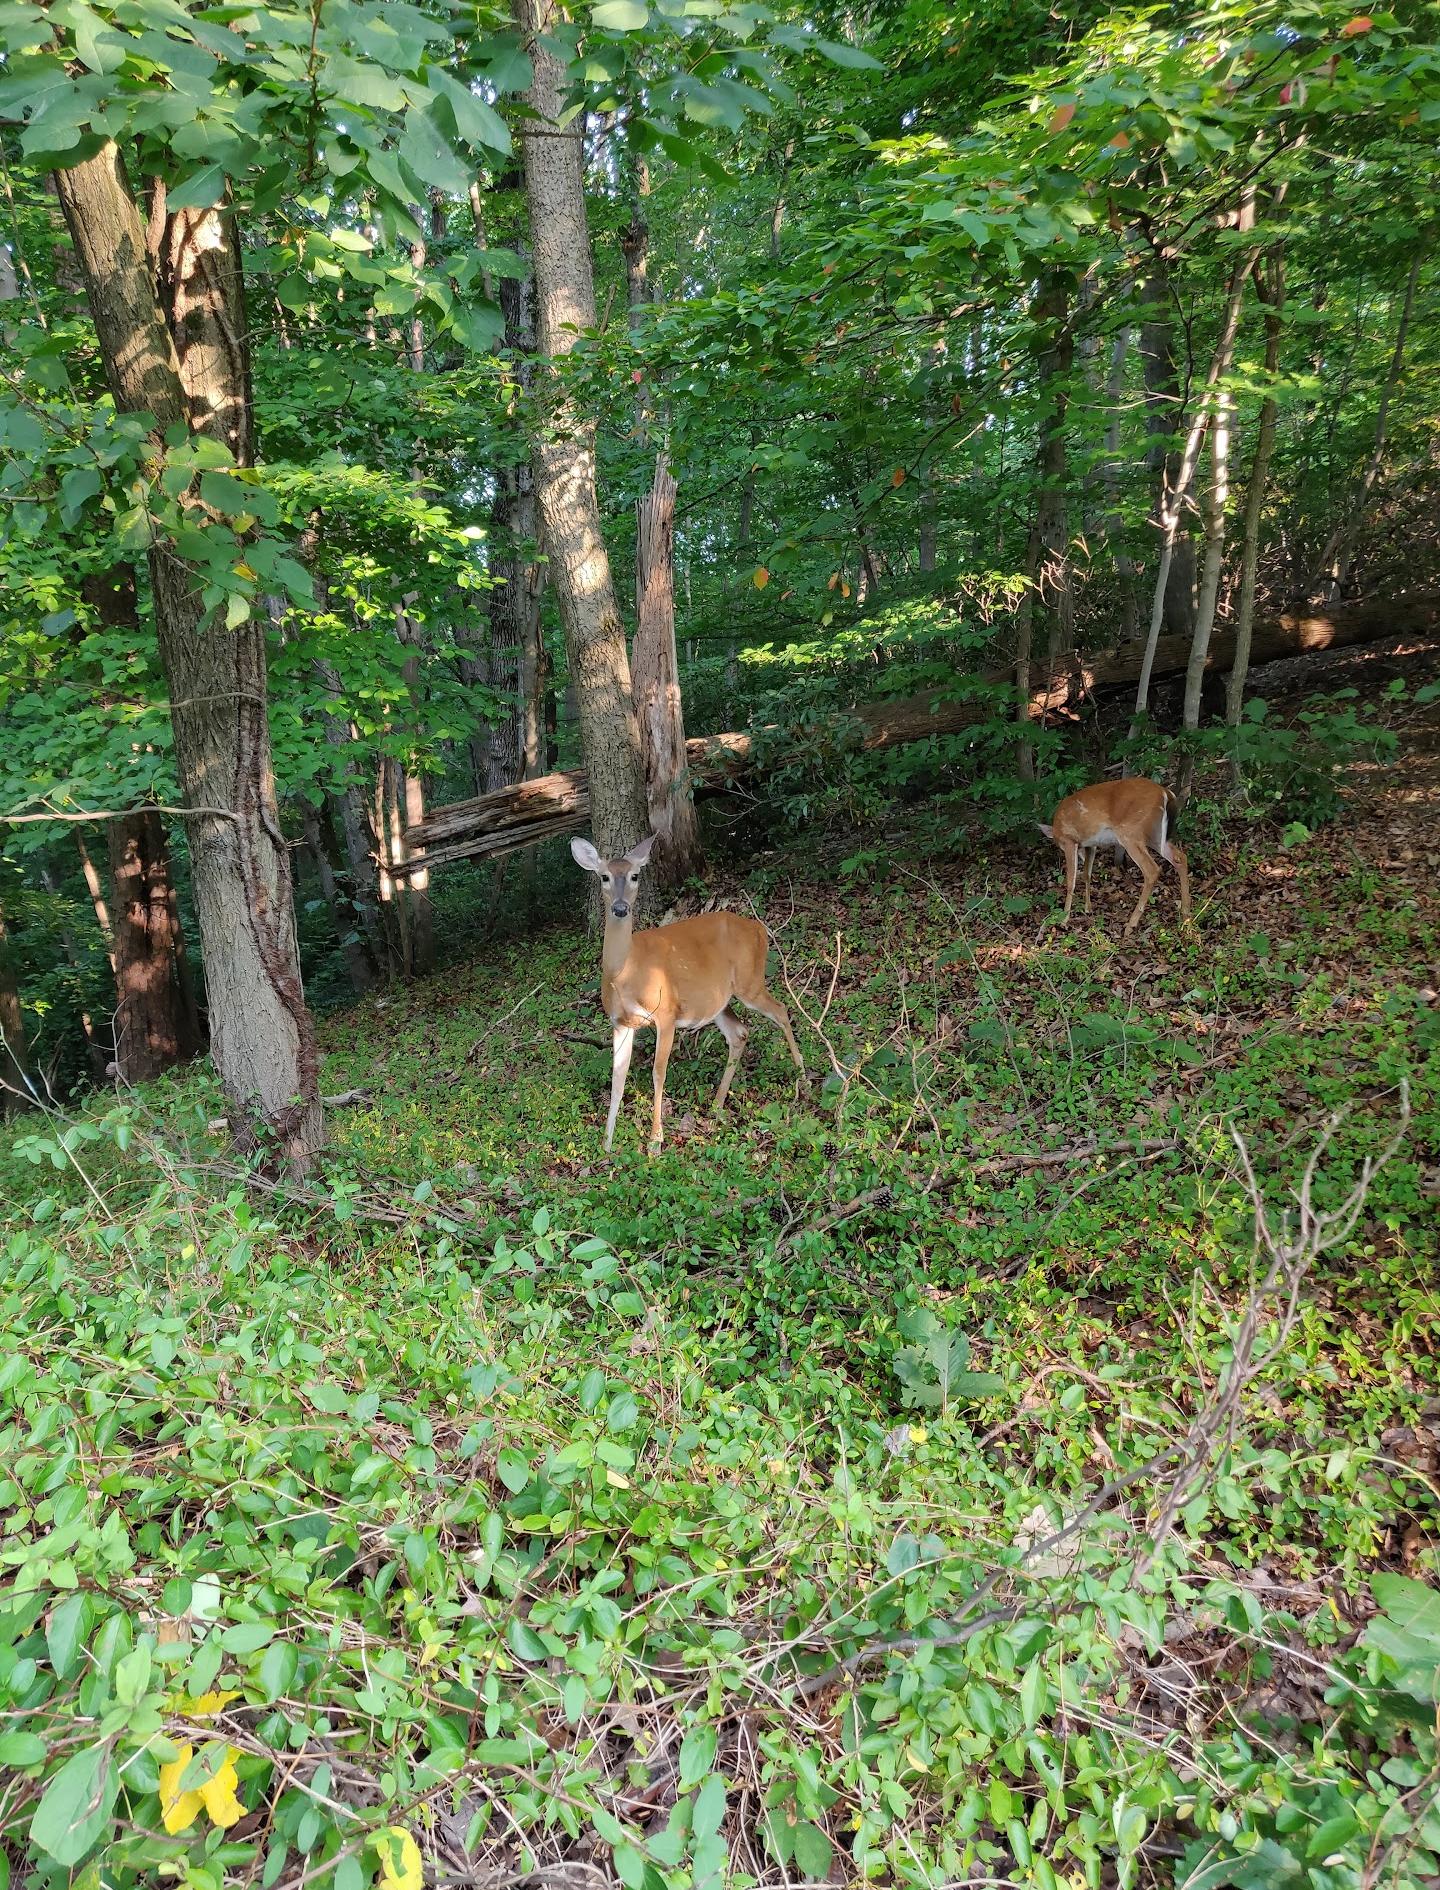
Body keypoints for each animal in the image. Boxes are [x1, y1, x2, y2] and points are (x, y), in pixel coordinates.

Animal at [563, 839, 808, 1156]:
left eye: (634, 876)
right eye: (604, 876)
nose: (620, 908)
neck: (625, 972)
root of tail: (758, 927)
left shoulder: (666, 1013)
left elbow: (658, 1072)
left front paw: (655, 1141)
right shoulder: (620, 1023)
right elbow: (618, 1076)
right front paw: (606, 1143)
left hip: (750, 980)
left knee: (781, 1010)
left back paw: (803, 1079)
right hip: (718, 1000)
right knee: (740, 1032)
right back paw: (716, 1104)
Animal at [1035, 774, 1186, 937]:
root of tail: (1165, 793)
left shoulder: (1070, 841)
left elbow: (1070, 882)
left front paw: (1064, 920)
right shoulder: (1091, 845)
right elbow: (1087, 875)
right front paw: (1088, 908)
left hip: (1130, 832)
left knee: (1152, 869)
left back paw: (1130, 925)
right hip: (1155, 835)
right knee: (1180, 857)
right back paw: (1186, 915)